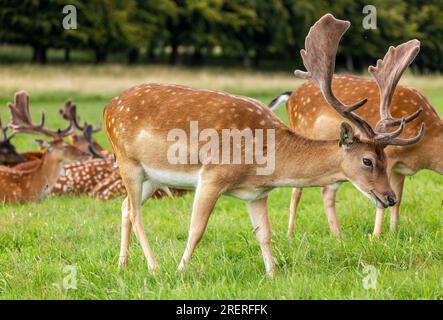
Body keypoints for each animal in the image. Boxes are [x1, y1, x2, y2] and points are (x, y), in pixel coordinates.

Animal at [268, 44, 438, 238]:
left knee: (324, 190)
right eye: (367, 161)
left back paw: (336, 235)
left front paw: (393, 231)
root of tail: (290, 96)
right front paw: (376, 237)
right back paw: (291, 234)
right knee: (299, 189)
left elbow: (400, 197)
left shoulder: (397, 167)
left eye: (384, 159)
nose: (390, 198)